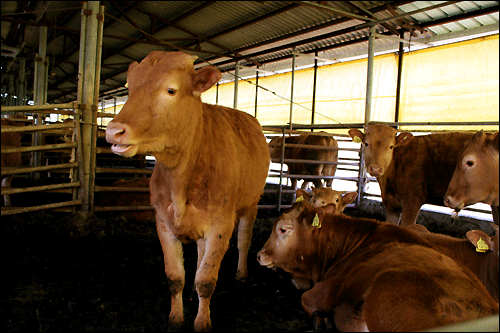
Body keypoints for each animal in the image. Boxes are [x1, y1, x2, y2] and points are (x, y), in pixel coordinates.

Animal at [105, 50, 270, 330]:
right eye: (130, 88)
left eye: (171, 90)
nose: (115, 130)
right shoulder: (163, 221)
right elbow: (175, 277)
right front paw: (176, 318)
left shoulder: (221, 224)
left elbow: (207, 279)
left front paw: (202, 322)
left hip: (251, 203)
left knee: (244, 239)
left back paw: (241, 273)